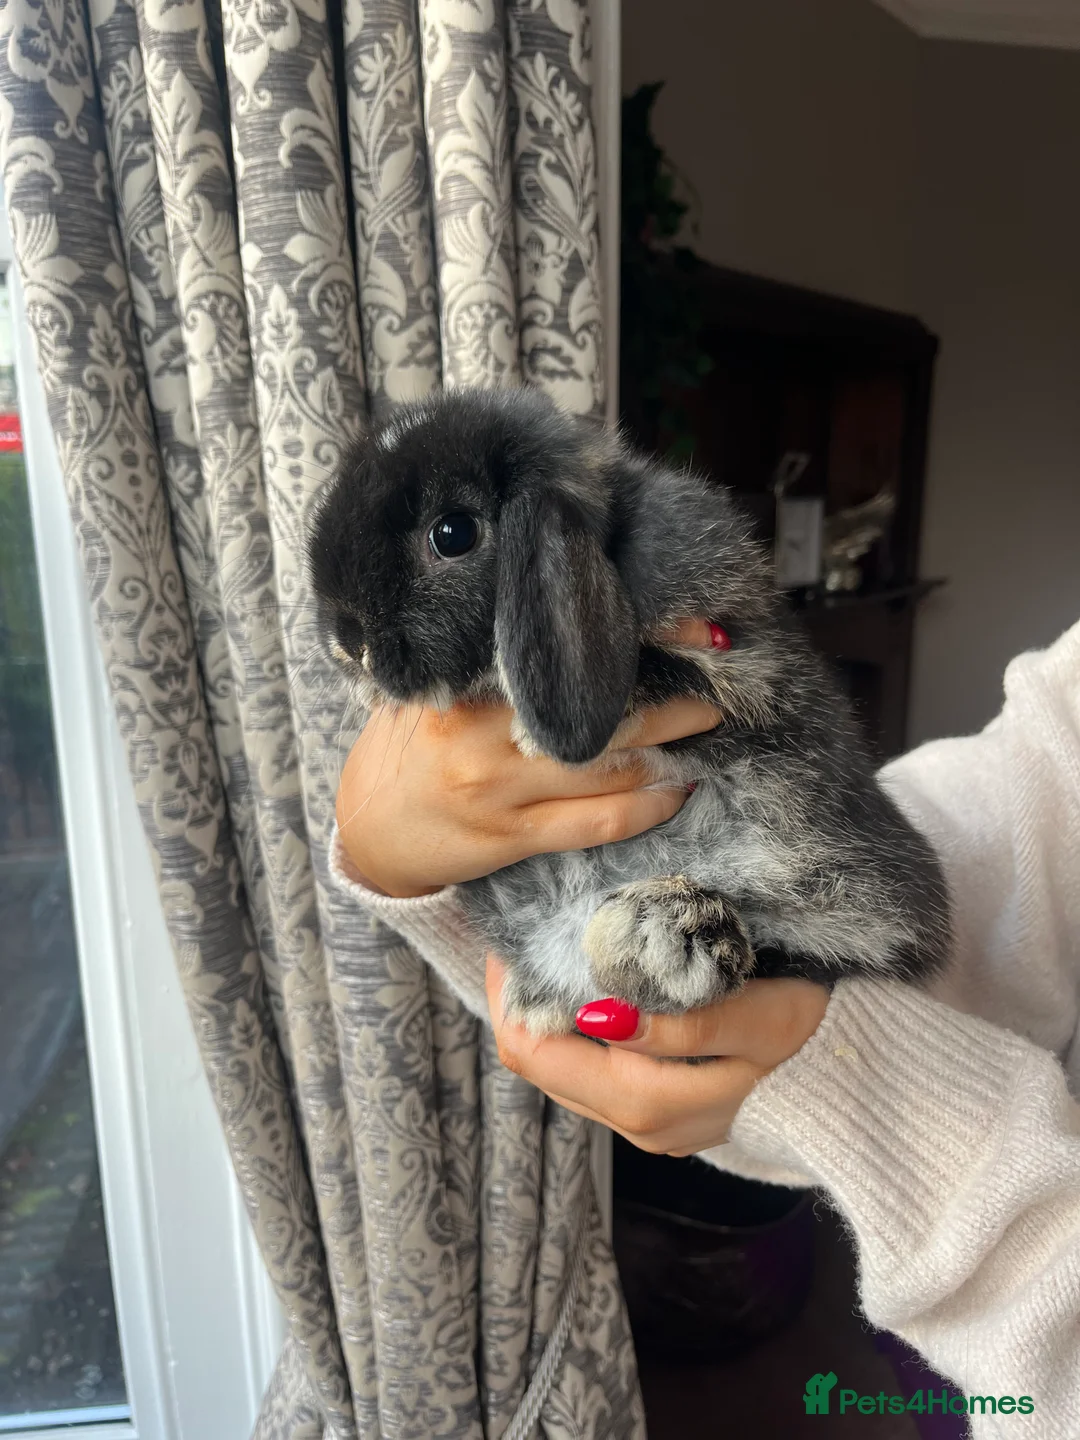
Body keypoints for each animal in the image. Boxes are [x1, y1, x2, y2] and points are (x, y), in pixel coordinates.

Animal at [309, 386, 950, 1036]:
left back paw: (667, 934)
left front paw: (532, 733)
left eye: (453, 533)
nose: (348, 643)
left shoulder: (747, 669)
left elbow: (686, 674)